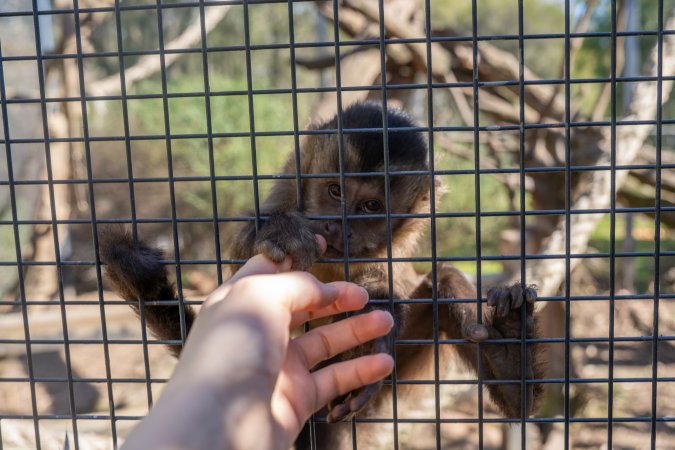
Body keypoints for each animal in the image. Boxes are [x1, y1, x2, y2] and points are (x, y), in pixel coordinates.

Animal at [101, 101, 544, 449]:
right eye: (335, 192)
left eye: (369, 206)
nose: (334, 227)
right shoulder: (286, 190)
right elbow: (245, 258)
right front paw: (281, 232)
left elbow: (390, 290)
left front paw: (375, 313)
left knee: (445, 279)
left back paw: (511, 364)